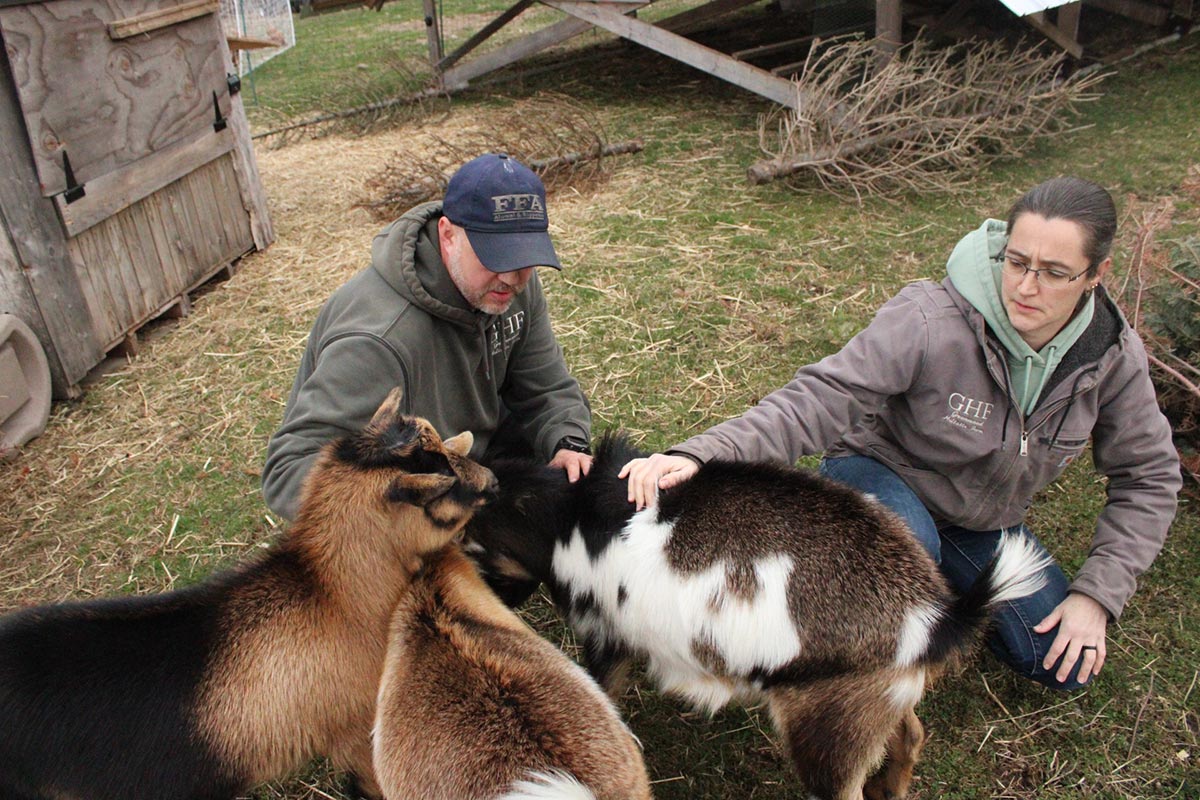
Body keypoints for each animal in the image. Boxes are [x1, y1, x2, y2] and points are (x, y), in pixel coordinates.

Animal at [464, 433, 1050, 800]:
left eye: (472, 542)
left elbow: (603, 688)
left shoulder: (607, 630)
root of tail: (934, 617)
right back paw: (891, 786)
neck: (574, 518)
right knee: (908, 734)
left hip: (824, 725)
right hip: (870, 698)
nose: (489, 601)